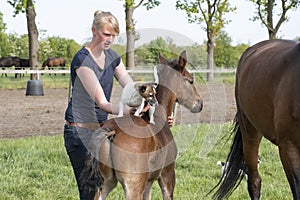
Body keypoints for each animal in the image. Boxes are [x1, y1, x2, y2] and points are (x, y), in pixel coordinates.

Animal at [79, 50, 203, 200]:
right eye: (191, 81)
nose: (200, 103)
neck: (158, 117)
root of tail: (112, 130)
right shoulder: (167, 176)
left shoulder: (148, 182)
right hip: (133, 186)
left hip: (106, 184)